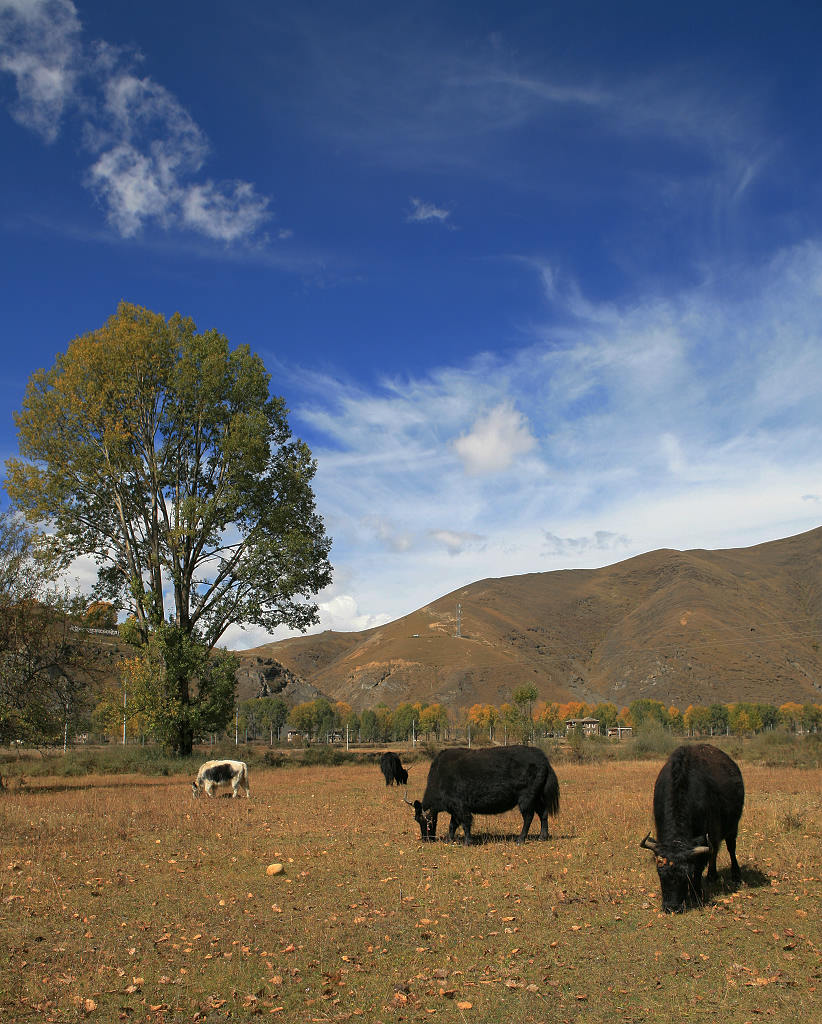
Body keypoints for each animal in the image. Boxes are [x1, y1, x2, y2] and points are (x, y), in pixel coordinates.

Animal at [405, 749, 560, 843]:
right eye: (416, 819)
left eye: (423, 819)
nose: (426, 839)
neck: (440, 776)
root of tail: (544, 759)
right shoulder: (454, 809)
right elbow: (452, 824)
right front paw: (450, 840)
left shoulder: (460, 806)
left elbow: (465, 822)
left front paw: (467, 842)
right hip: (538, 798)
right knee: (543, 814)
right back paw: (542, 837)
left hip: (526, 798)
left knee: (528, 817)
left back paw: (520, 839)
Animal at [642, 745, 745, 913]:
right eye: (660, 873)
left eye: (685, 875)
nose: (672, 908)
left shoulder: (705, 836)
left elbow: (699, 867)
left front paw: (696, 894)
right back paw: (712, 876)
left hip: (732, 827)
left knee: (730, 848)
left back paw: (735, 875)